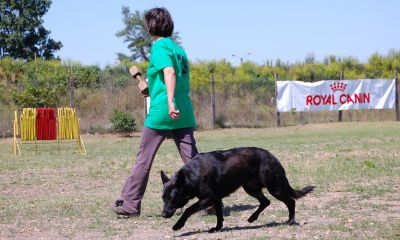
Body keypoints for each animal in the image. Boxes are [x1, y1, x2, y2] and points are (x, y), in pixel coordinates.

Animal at [161, 147, 314, 232]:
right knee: (266, 202)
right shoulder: (216, 199)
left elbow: (188, 210)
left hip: (274, 187)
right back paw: (252, 218)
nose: (163, 215)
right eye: (163, 199)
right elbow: (219, 215)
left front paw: (178, 225)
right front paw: (217, 229)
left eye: (172, 199)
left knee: (291, 201)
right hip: (251, 188)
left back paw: (290, 221)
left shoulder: (208, 198)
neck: (192, 175)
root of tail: (273, 157)